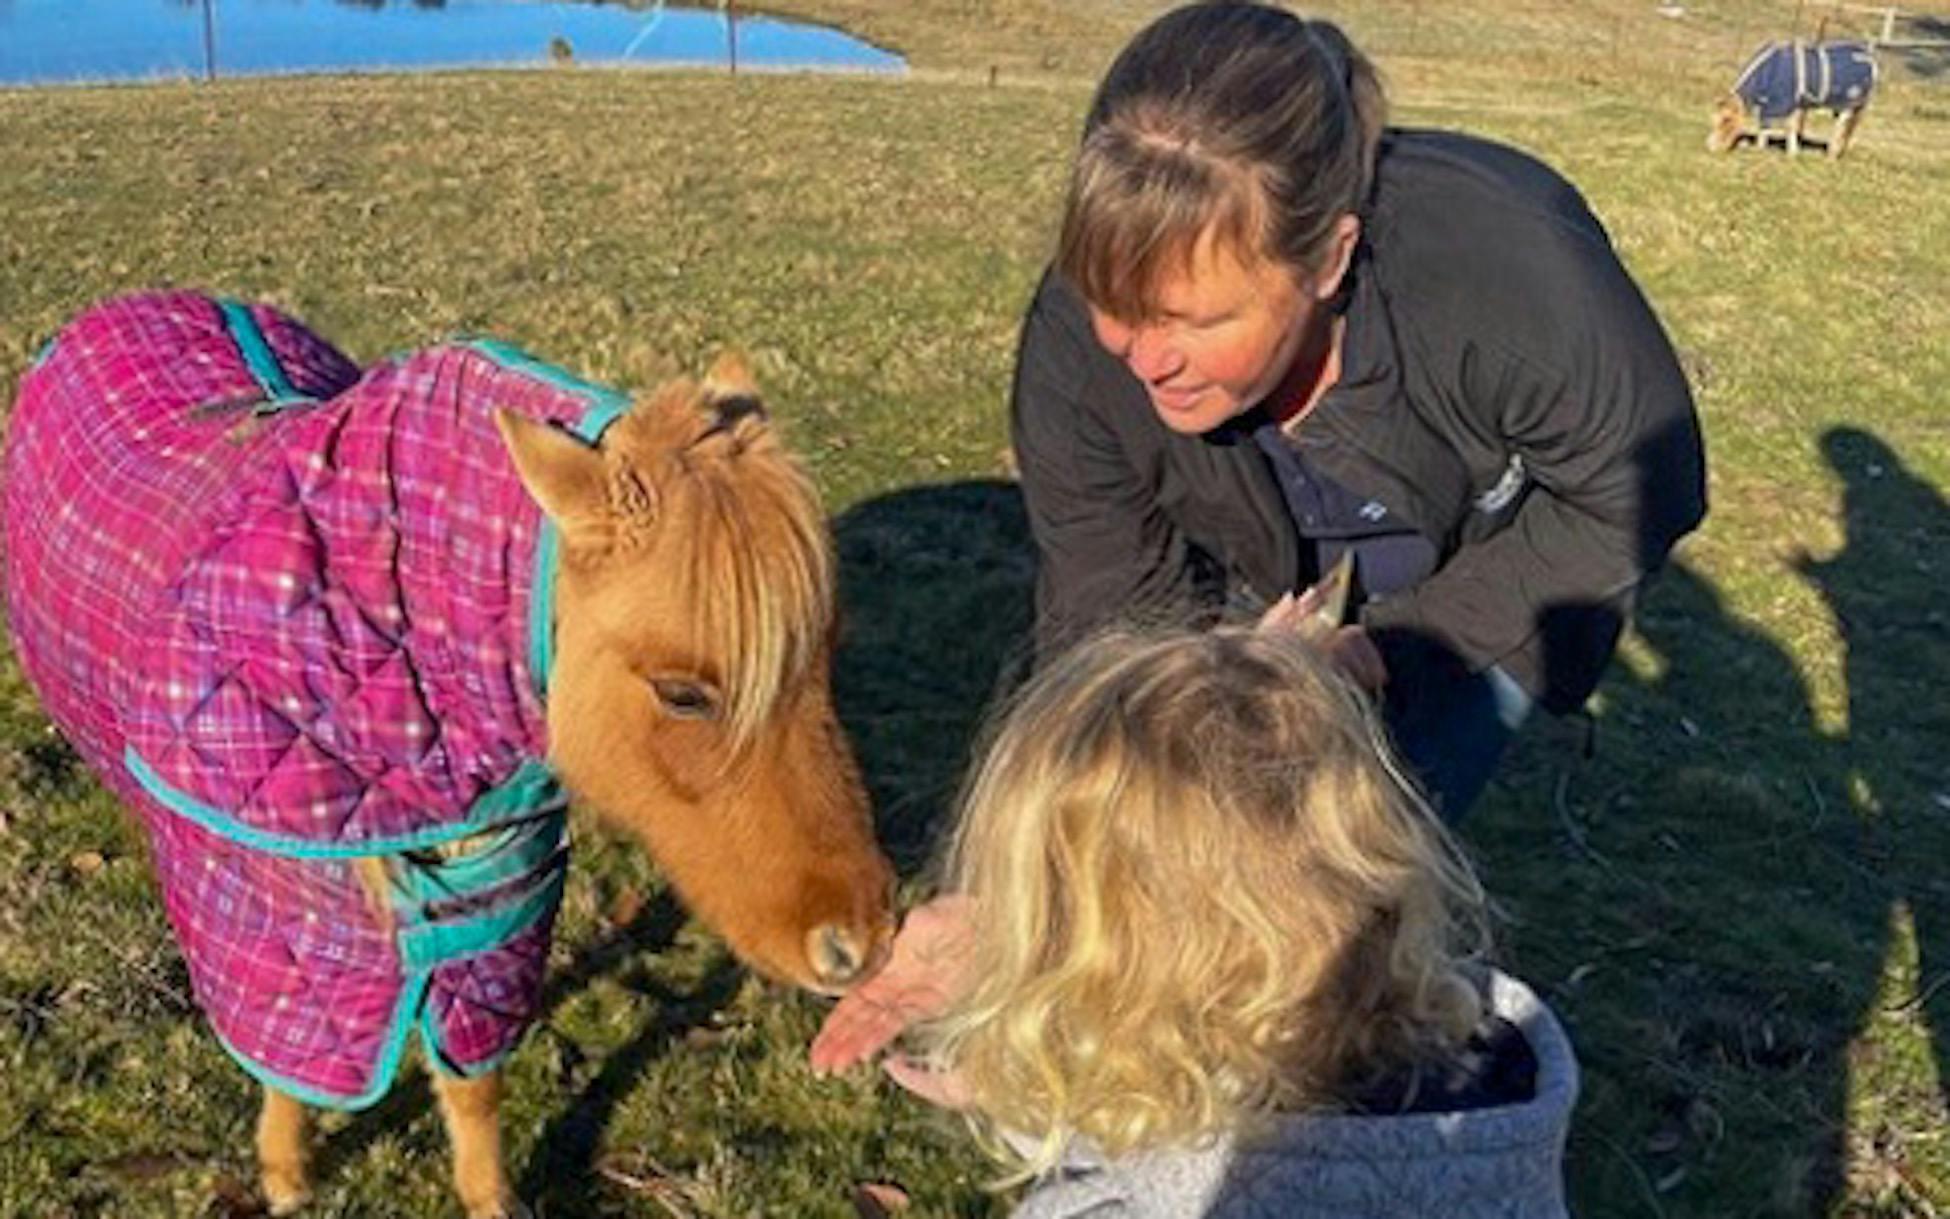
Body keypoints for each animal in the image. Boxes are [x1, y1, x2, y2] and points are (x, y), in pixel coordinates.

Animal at [1, 291, 896, 1217]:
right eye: (683, 693)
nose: (863, 940)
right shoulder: (278, 909)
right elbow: (294, 1061)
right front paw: (286, 1177)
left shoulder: (501, 879)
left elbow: (474, 1073)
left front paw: (488, 1194)